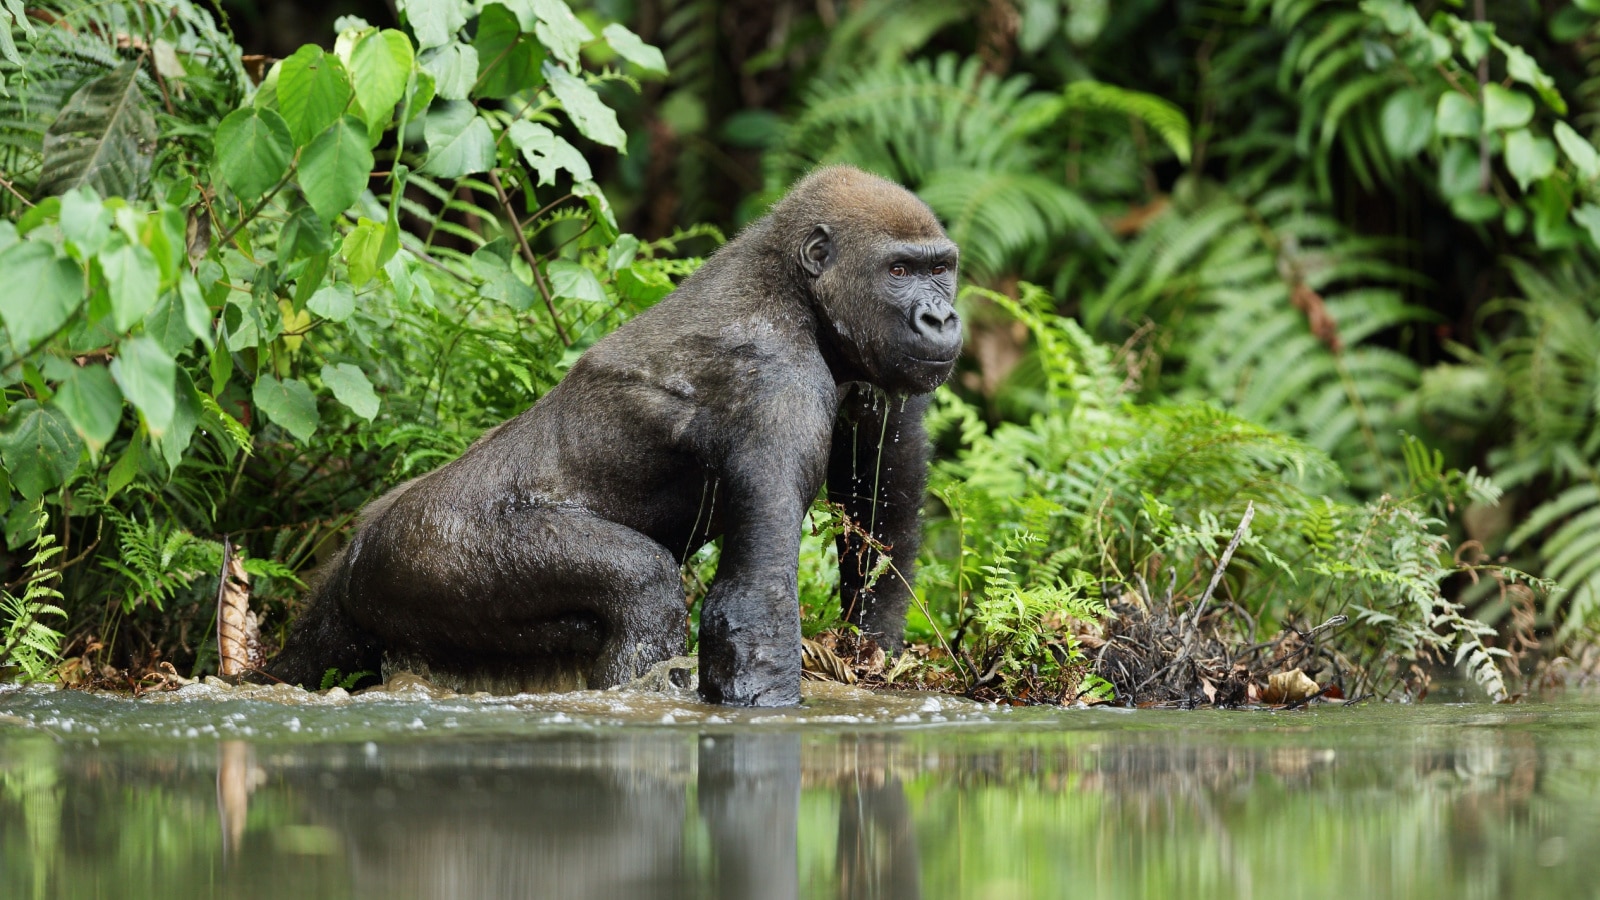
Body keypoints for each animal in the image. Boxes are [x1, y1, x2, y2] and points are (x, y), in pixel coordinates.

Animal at [265, 164, 960, 704]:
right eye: (899, 270)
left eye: (942, 269)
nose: (942, 317)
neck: (795, 285)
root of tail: (358, 549)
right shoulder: (777, 382)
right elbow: (751, 607)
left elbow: (880, 510)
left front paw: (871, 650)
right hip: (425, 553)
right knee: (644, 588)